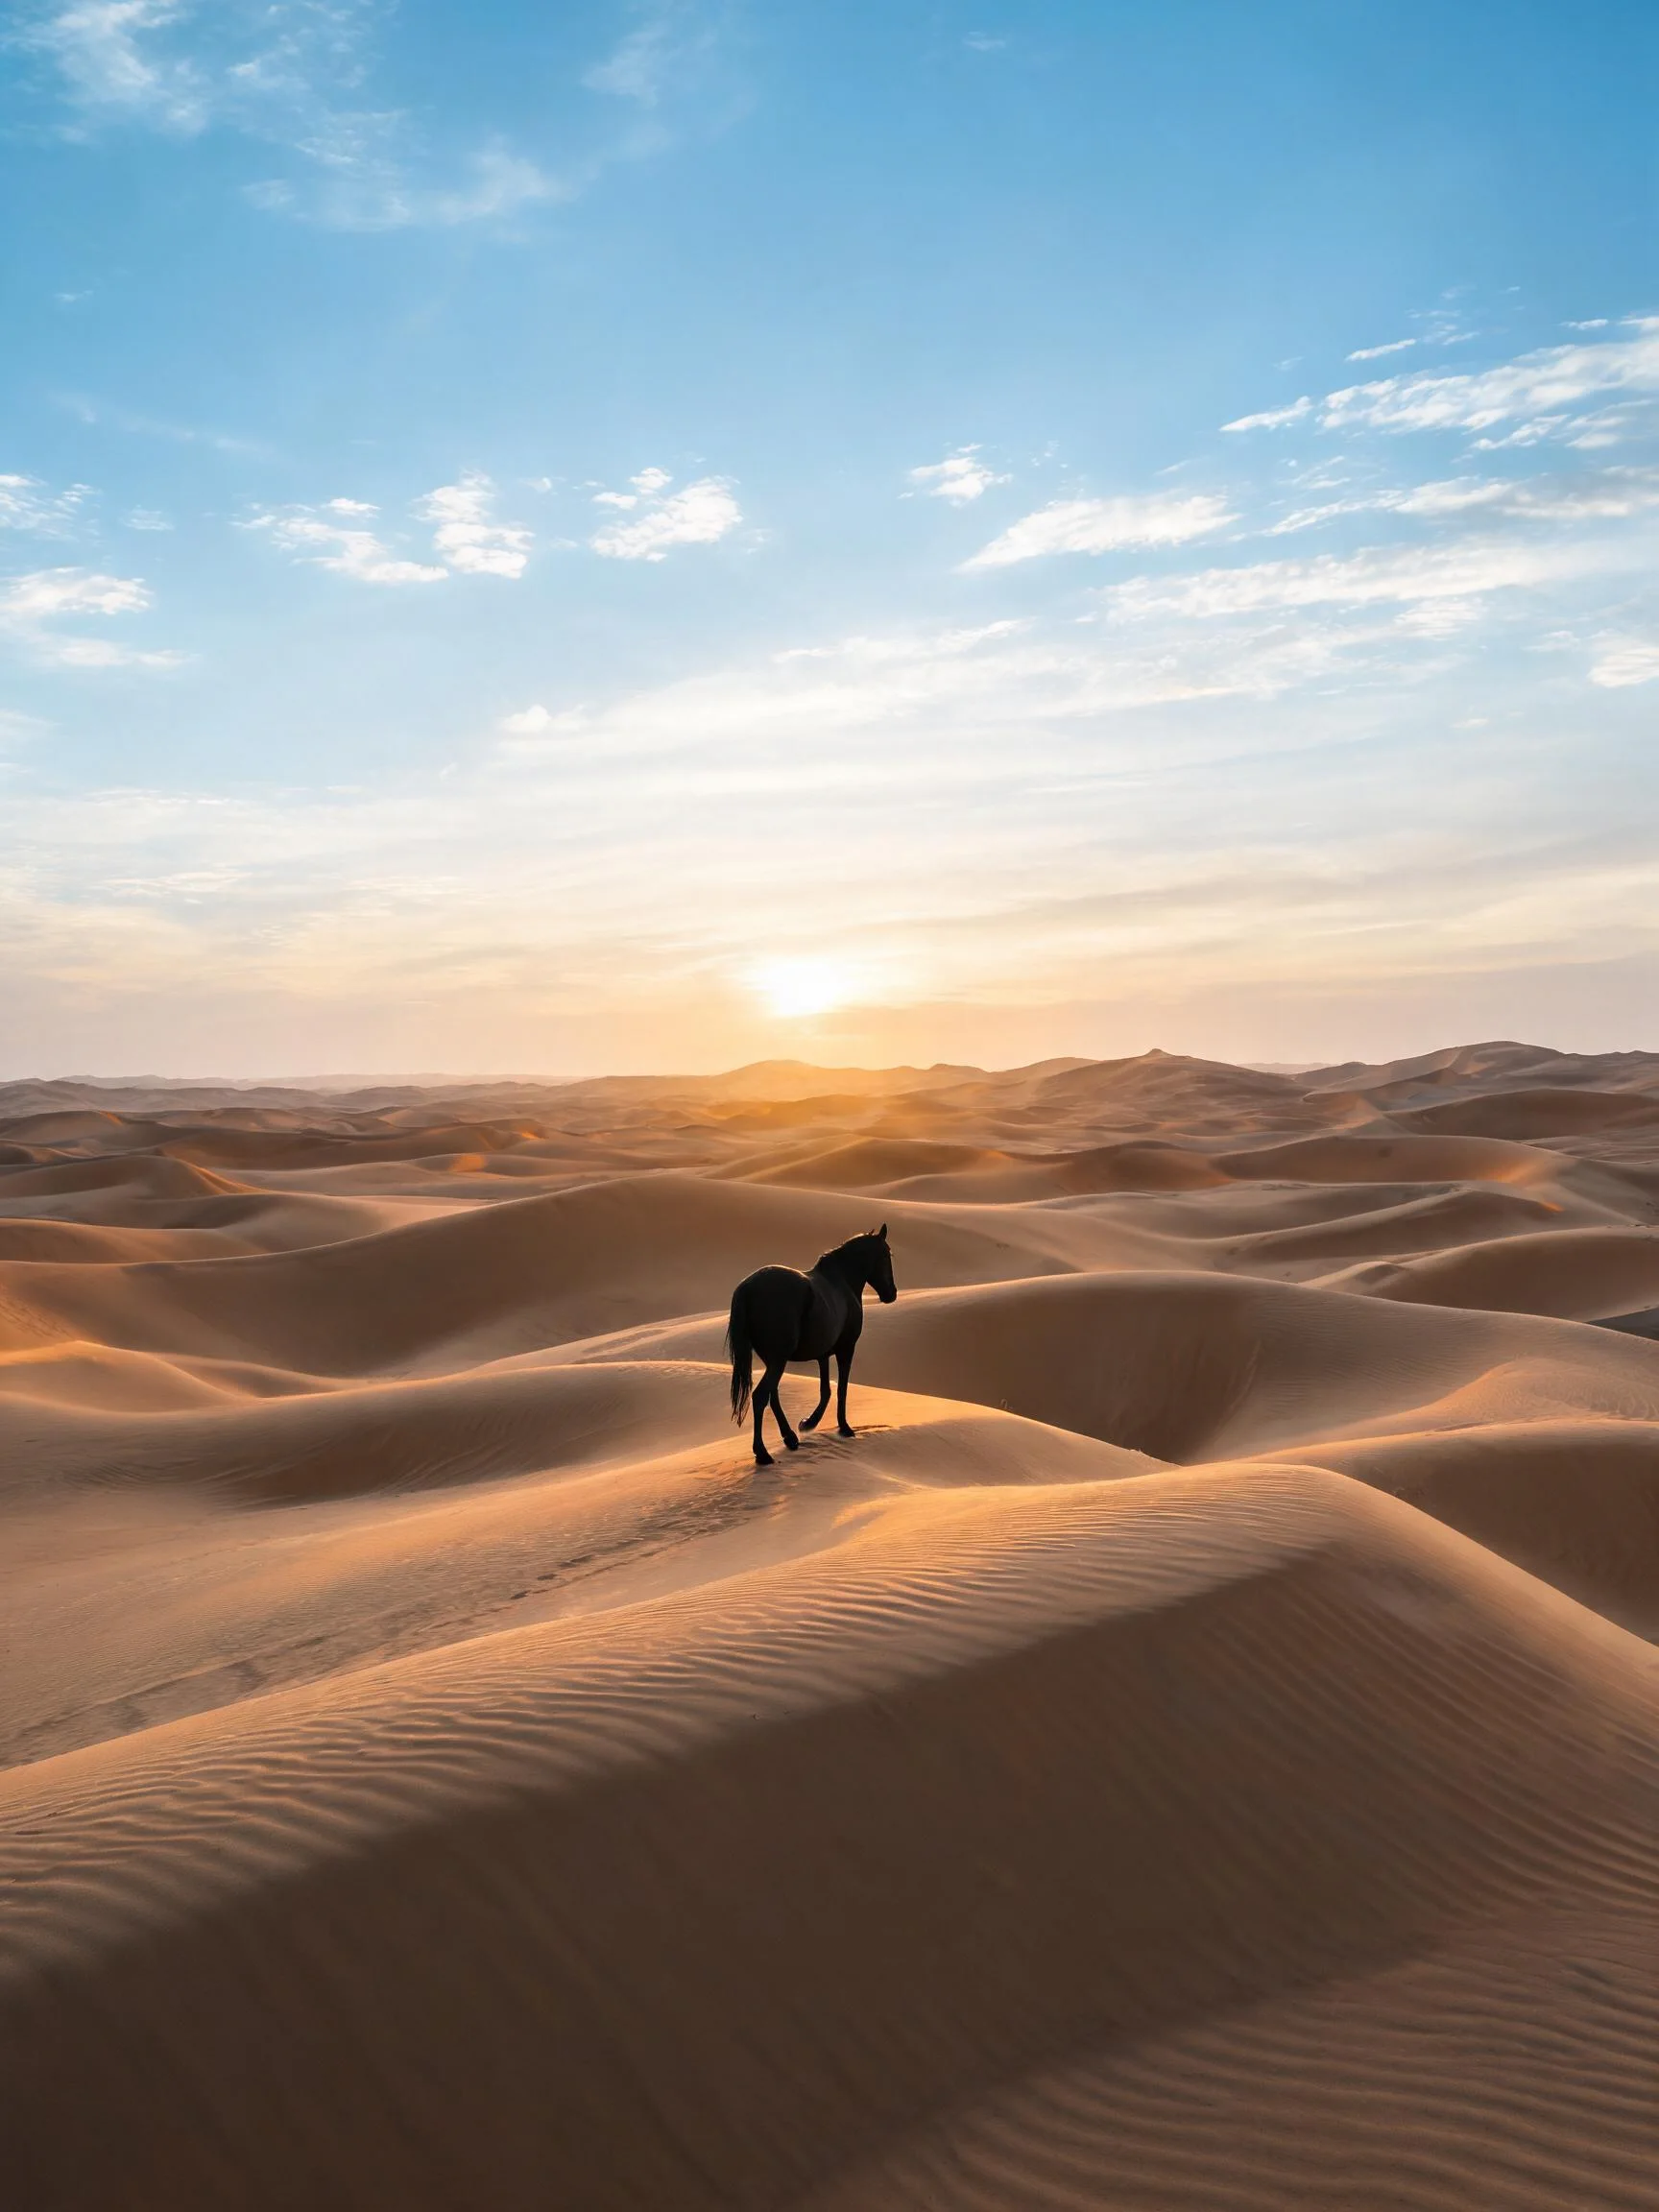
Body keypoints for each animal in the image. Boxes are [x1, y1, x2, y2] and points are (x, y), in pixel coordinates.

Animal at [726, 1226, 897, 1465]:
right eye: (886, 1255)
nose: (892, 1293)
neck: (842, 1281)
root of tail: (747, 1288)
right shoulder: (846, 1349)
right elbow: (841, 1388)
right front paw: (844, 1428)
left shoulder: (823, 1354)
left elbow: (825, 1390)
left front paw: (808, 1423)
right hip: (778, 1360)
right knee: (761, 1396)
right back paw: (763, 1453)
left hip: (773, 1360)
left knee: (772, 1394)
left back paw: (790, 1438)